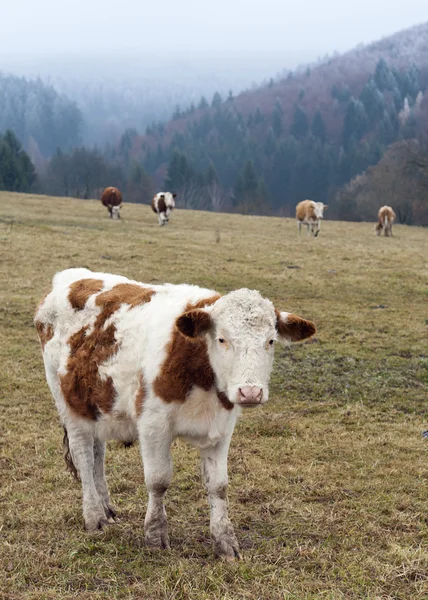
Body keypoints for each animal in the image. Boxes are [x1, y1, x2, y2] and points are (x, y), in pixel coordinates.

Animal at [35, 270, 316, 560]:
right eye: (222, 339)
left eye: (270, 341)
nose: (250, 392)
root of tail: (72, 276)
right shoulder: (152, 424)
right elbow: (158, 481)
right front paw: (155, 535)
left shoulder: (222, 428)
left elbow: (218, 485)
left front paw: (225, 542)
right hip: (68, 403)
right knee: (83, 456)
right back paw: (94, 516)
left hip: (98, 405)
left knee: (97, 454)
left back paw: (107, 509)